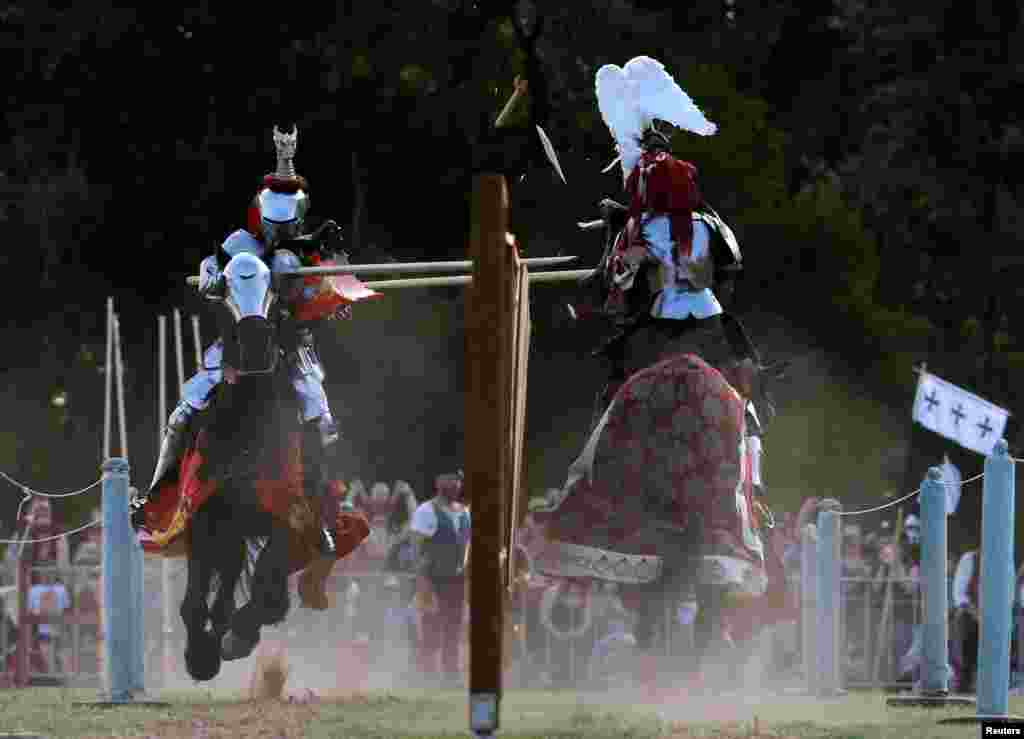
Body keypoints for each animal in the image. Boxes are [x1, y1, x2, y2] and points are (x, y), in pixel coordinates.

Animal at [134, 250, 370, 675]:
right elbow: (194, 603)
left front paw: (236, 637)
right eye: (225, 288)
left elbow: (269, 597)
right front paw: (201, 655)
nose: (257, 344)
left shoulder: (287, 520)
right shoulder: (205, 520)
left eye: (274, 289)